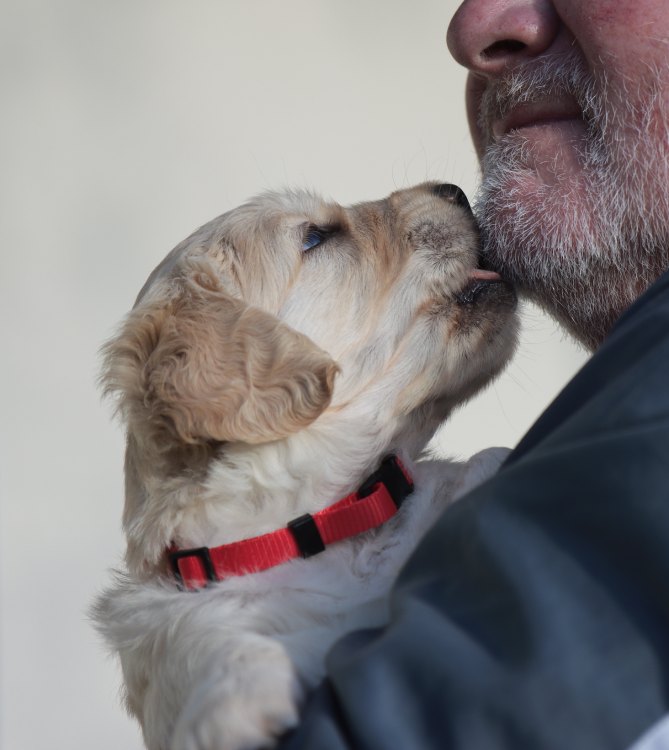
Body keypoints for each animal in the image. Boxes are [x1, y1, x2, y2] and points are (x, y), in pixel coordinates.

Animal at [93, 182, 518, 750]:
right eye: (316, 236)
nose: (454, 191)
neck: (334, 518)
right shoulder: (173, 625)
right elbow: (206, 639)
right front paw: (241, 701)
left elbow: (478, 463)